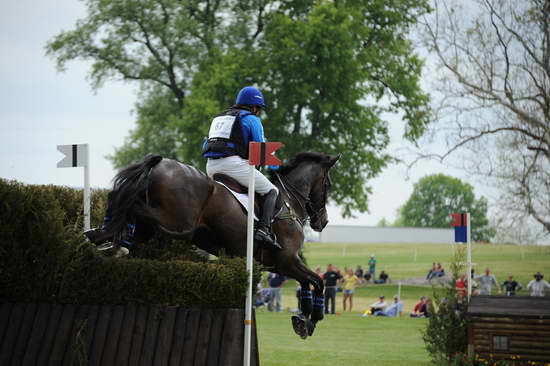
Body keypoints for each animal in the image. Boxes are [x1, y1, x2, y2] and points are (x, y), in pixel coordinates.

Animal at [101, 152, 338, 338]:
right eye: (327, 184)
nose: (323, 221)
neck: (290, 201)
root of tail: (160, 163)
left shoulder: (280, 265)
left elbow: (308, 283)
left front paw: (302, 320)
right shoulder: (288, 261)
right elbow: (318, 282)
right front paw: (312, 319)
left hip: (157, 225)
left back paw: (112, 242)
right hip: (178, 223)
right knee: (137, 209)